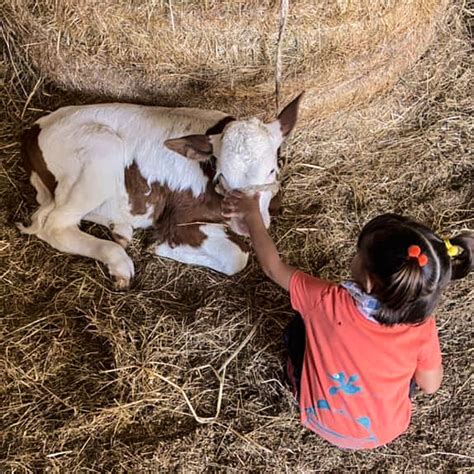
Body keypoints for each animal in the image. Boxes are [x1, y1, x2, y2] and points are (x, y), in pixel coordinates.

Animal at [18, 95, 302, 288]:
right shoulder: (178, 217)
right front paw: (161, 247)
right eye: (222, 176)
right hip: (103, 151)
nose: (245, 223)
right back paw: (118, 260)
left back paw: (120, 230)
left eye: (272, 171)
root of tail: (35, 128)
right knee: (54, 224)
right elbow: (237, 256)